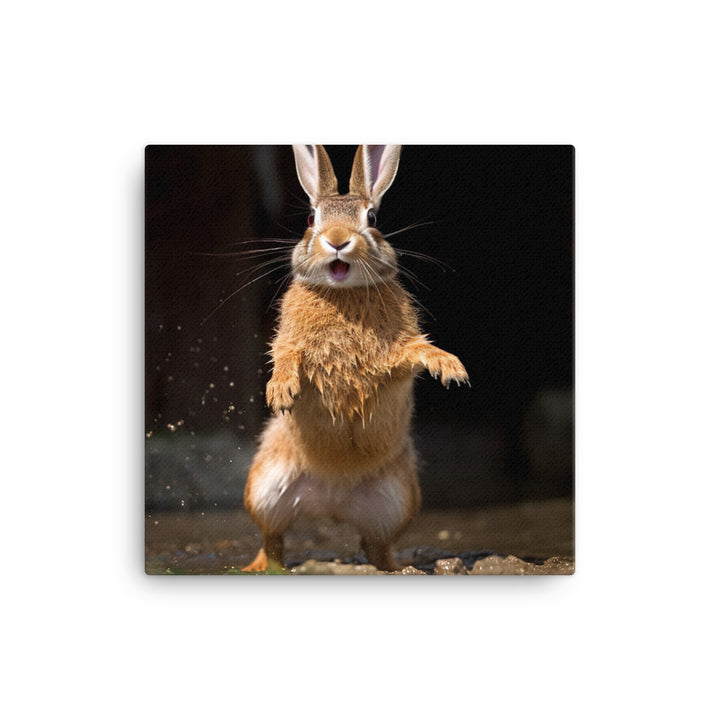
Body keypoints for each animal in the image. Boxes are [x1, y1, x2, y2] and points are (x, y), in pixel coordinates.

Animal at [242, 145, 469, 572]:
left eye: (372, 218)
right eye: (311, 218)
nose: (337, 240)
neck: (342, 292)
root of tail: (332, 499)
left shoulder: (395, 357)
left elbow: (413, 352)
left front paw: (449, 367)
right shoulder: (289, 342)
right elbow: (286, 356)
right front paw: (281, 391)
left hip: (397, 500)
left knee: (376, 546)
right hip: (265, 488)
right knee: (272, 540)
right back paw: (258, 567)